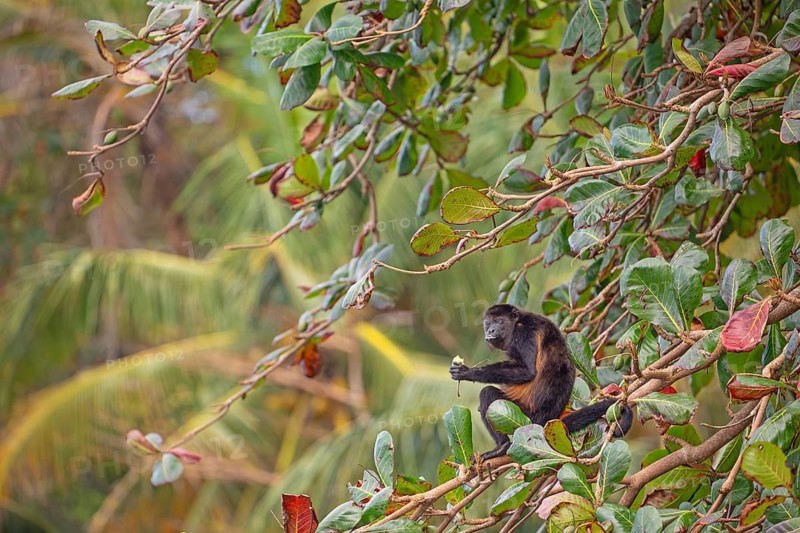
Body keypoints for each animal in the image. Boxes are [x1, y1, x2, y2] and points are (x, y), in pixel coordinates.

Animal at [449, 304, 633, 460]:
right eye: (488, 323)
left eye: (499, 321)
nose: (491, 330)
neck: (517, 323)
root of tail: (545, 421)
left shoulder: (523, 333)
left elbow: (527, 371)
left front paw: (468, 372)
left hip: (525, 416)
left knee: (488, 394)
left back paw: (501, 447)